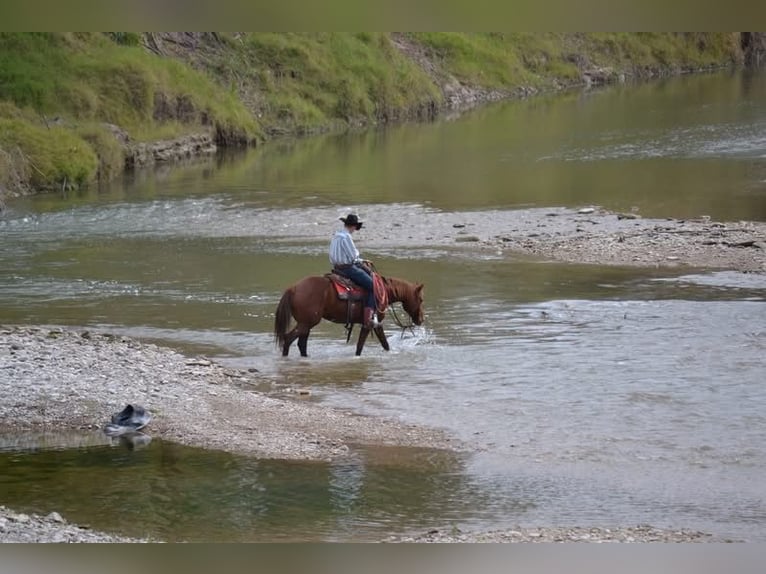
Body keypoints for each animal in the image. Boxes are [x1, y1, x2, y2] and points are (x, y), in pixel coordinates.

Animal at [274, 275, 424, 357]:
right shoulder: (371, 324)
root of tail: (293, 288)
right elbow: (364, 345)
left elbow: (381, 344)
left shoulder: (373, 325)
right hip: (305, 324)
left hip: (306, 325)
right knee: (288, 339)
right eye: (421, 299)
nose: (421, 319)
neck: (383, 291)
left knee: (301, 344)